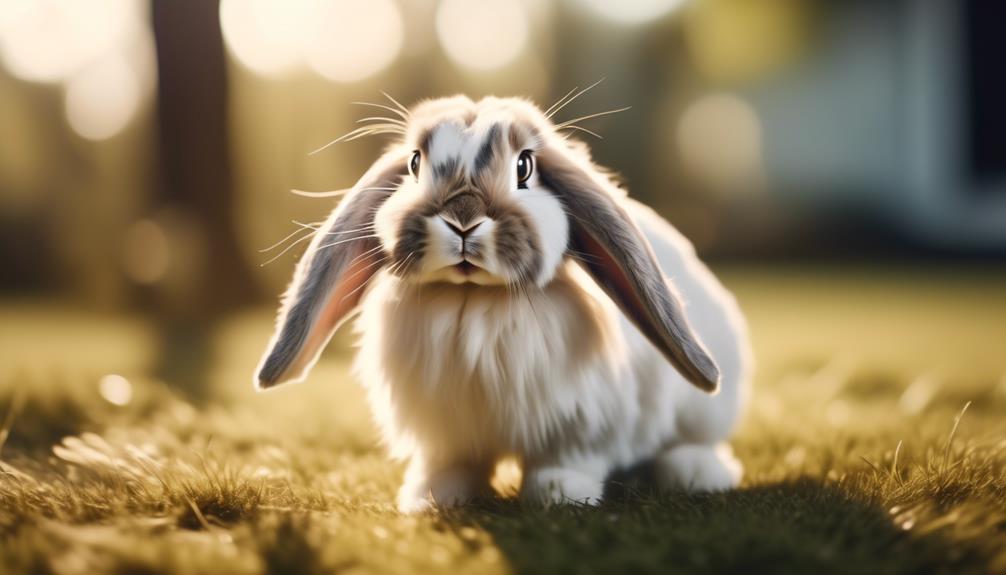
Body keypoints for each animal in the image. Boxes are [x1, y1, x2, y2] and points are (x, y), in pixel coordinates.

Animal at [255, 94, 752, 512]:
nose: (463, 218)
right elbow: (451, 464)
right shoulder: (446, 432)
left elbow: (568, 458)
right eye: (415, 163)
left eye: (525, 167)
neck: (473, 299)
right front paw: (430, 499)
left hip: (702, 411)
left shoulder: (580, 421)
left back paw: (695, 472)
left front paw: (559, 495)